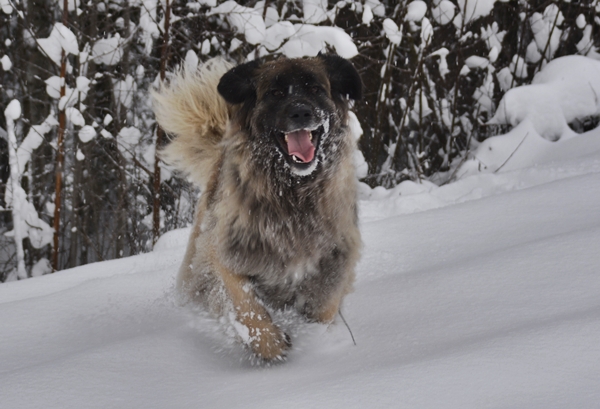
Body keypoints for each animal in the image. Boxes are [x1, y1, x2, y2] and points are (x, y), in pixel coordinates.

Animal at [152, 53, 364, 360]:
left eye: (315, 89)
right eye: (275, 93)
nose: (301, 112)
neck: (292, 195)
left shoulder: (336, 257)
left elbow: (324, 306)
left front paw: (313, 337)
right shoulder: (228, 248)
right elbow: (244, 301)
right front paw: (269, 343)